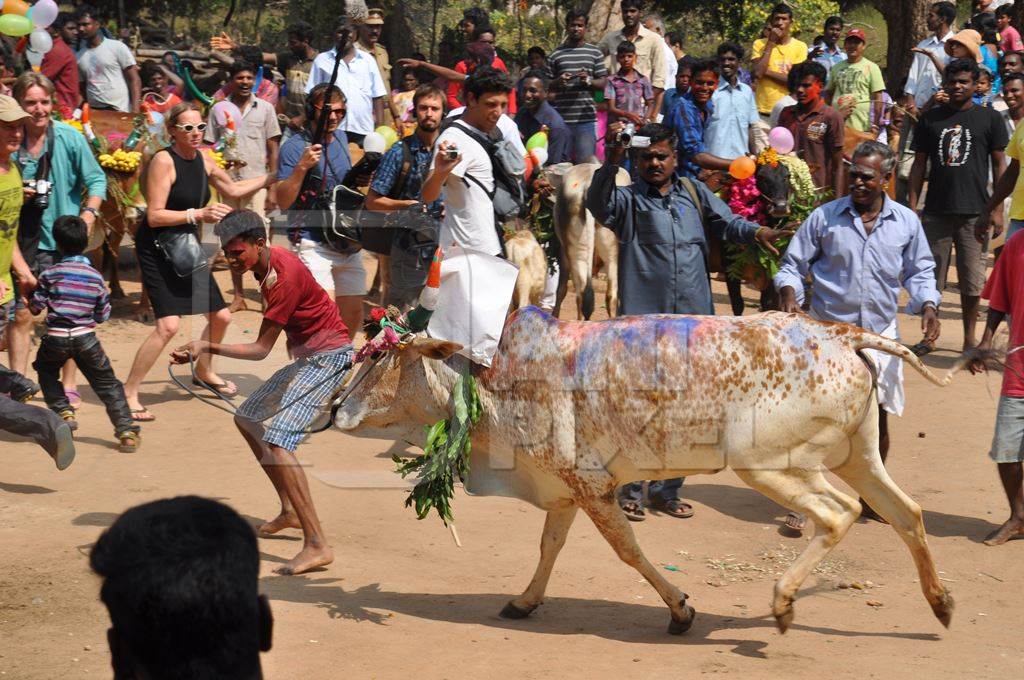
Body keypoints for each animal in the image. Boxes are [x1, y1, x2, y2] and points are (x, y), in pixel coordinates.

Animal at [333, 307, 958, 630]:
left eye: (385, 358)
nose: (337, 409)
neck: (490, 379)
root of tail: (841, 332)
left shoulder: (592, 487)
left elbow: (628, 551)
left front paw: (681, 610)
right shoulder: (565, 491)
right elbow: (548, 548)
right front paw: (524, 601)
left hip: (768, 464)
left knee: (840, 514)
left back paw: (783, 602)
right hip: (858, 456)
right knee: (907, 513)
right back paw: (940, 603)